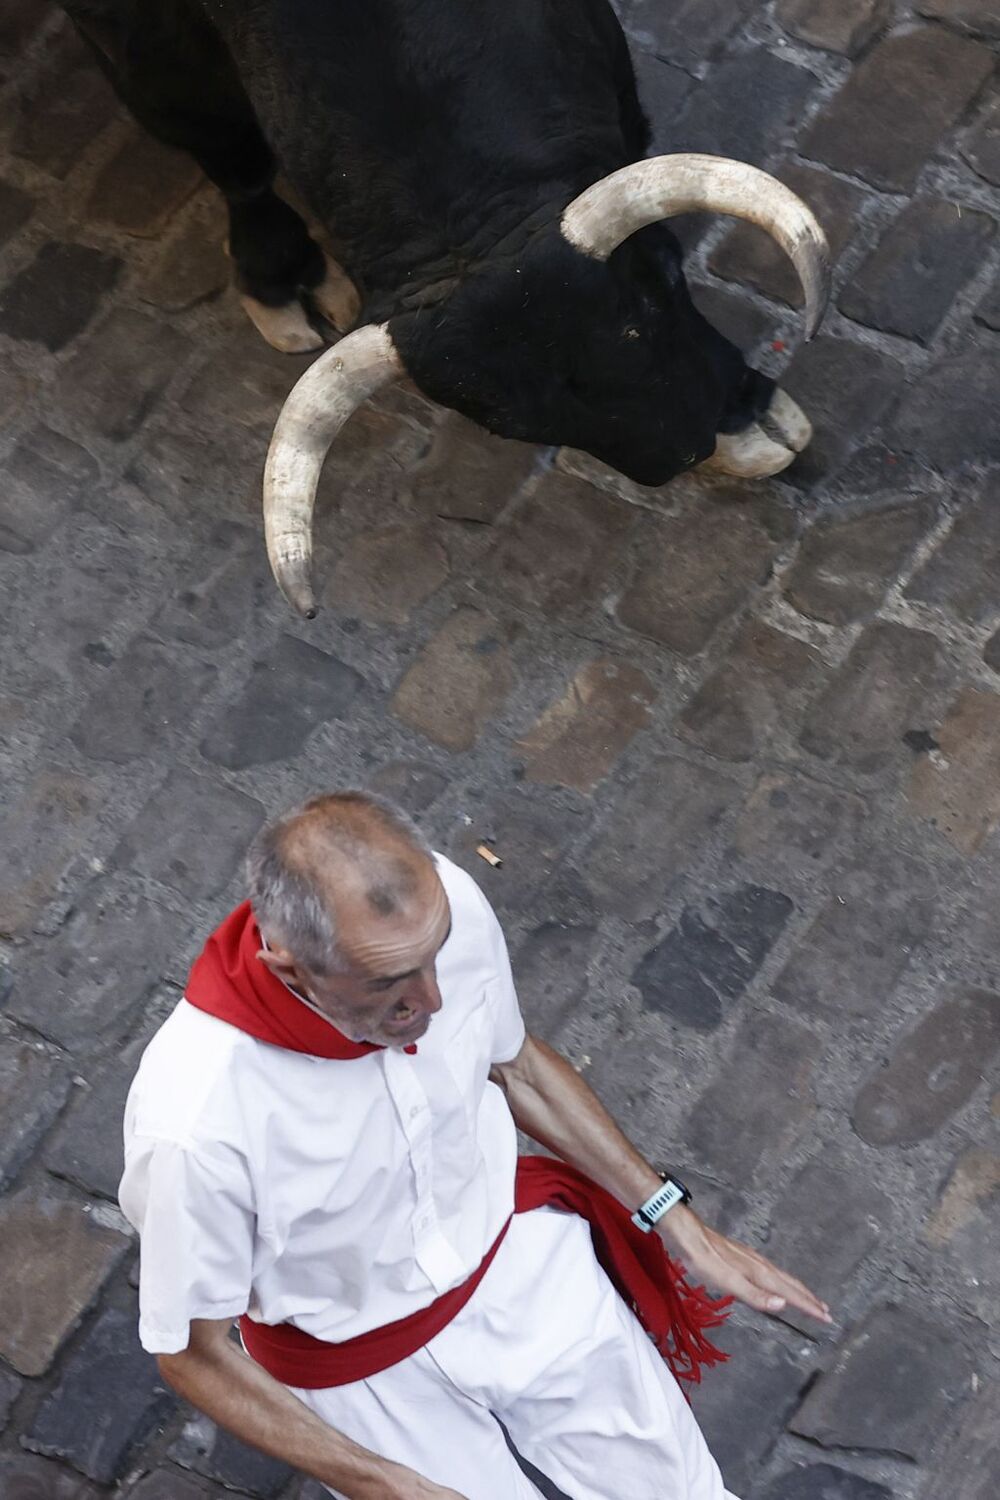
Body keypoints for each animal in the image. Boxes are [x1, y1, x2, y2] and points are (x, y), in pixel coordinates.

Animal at [58, 1, 833, 615]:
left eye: (667, 275)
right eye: (507, 424)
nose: (689, 445)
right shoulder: (139, 42)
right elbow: (223, 148)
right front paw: (280, 275)